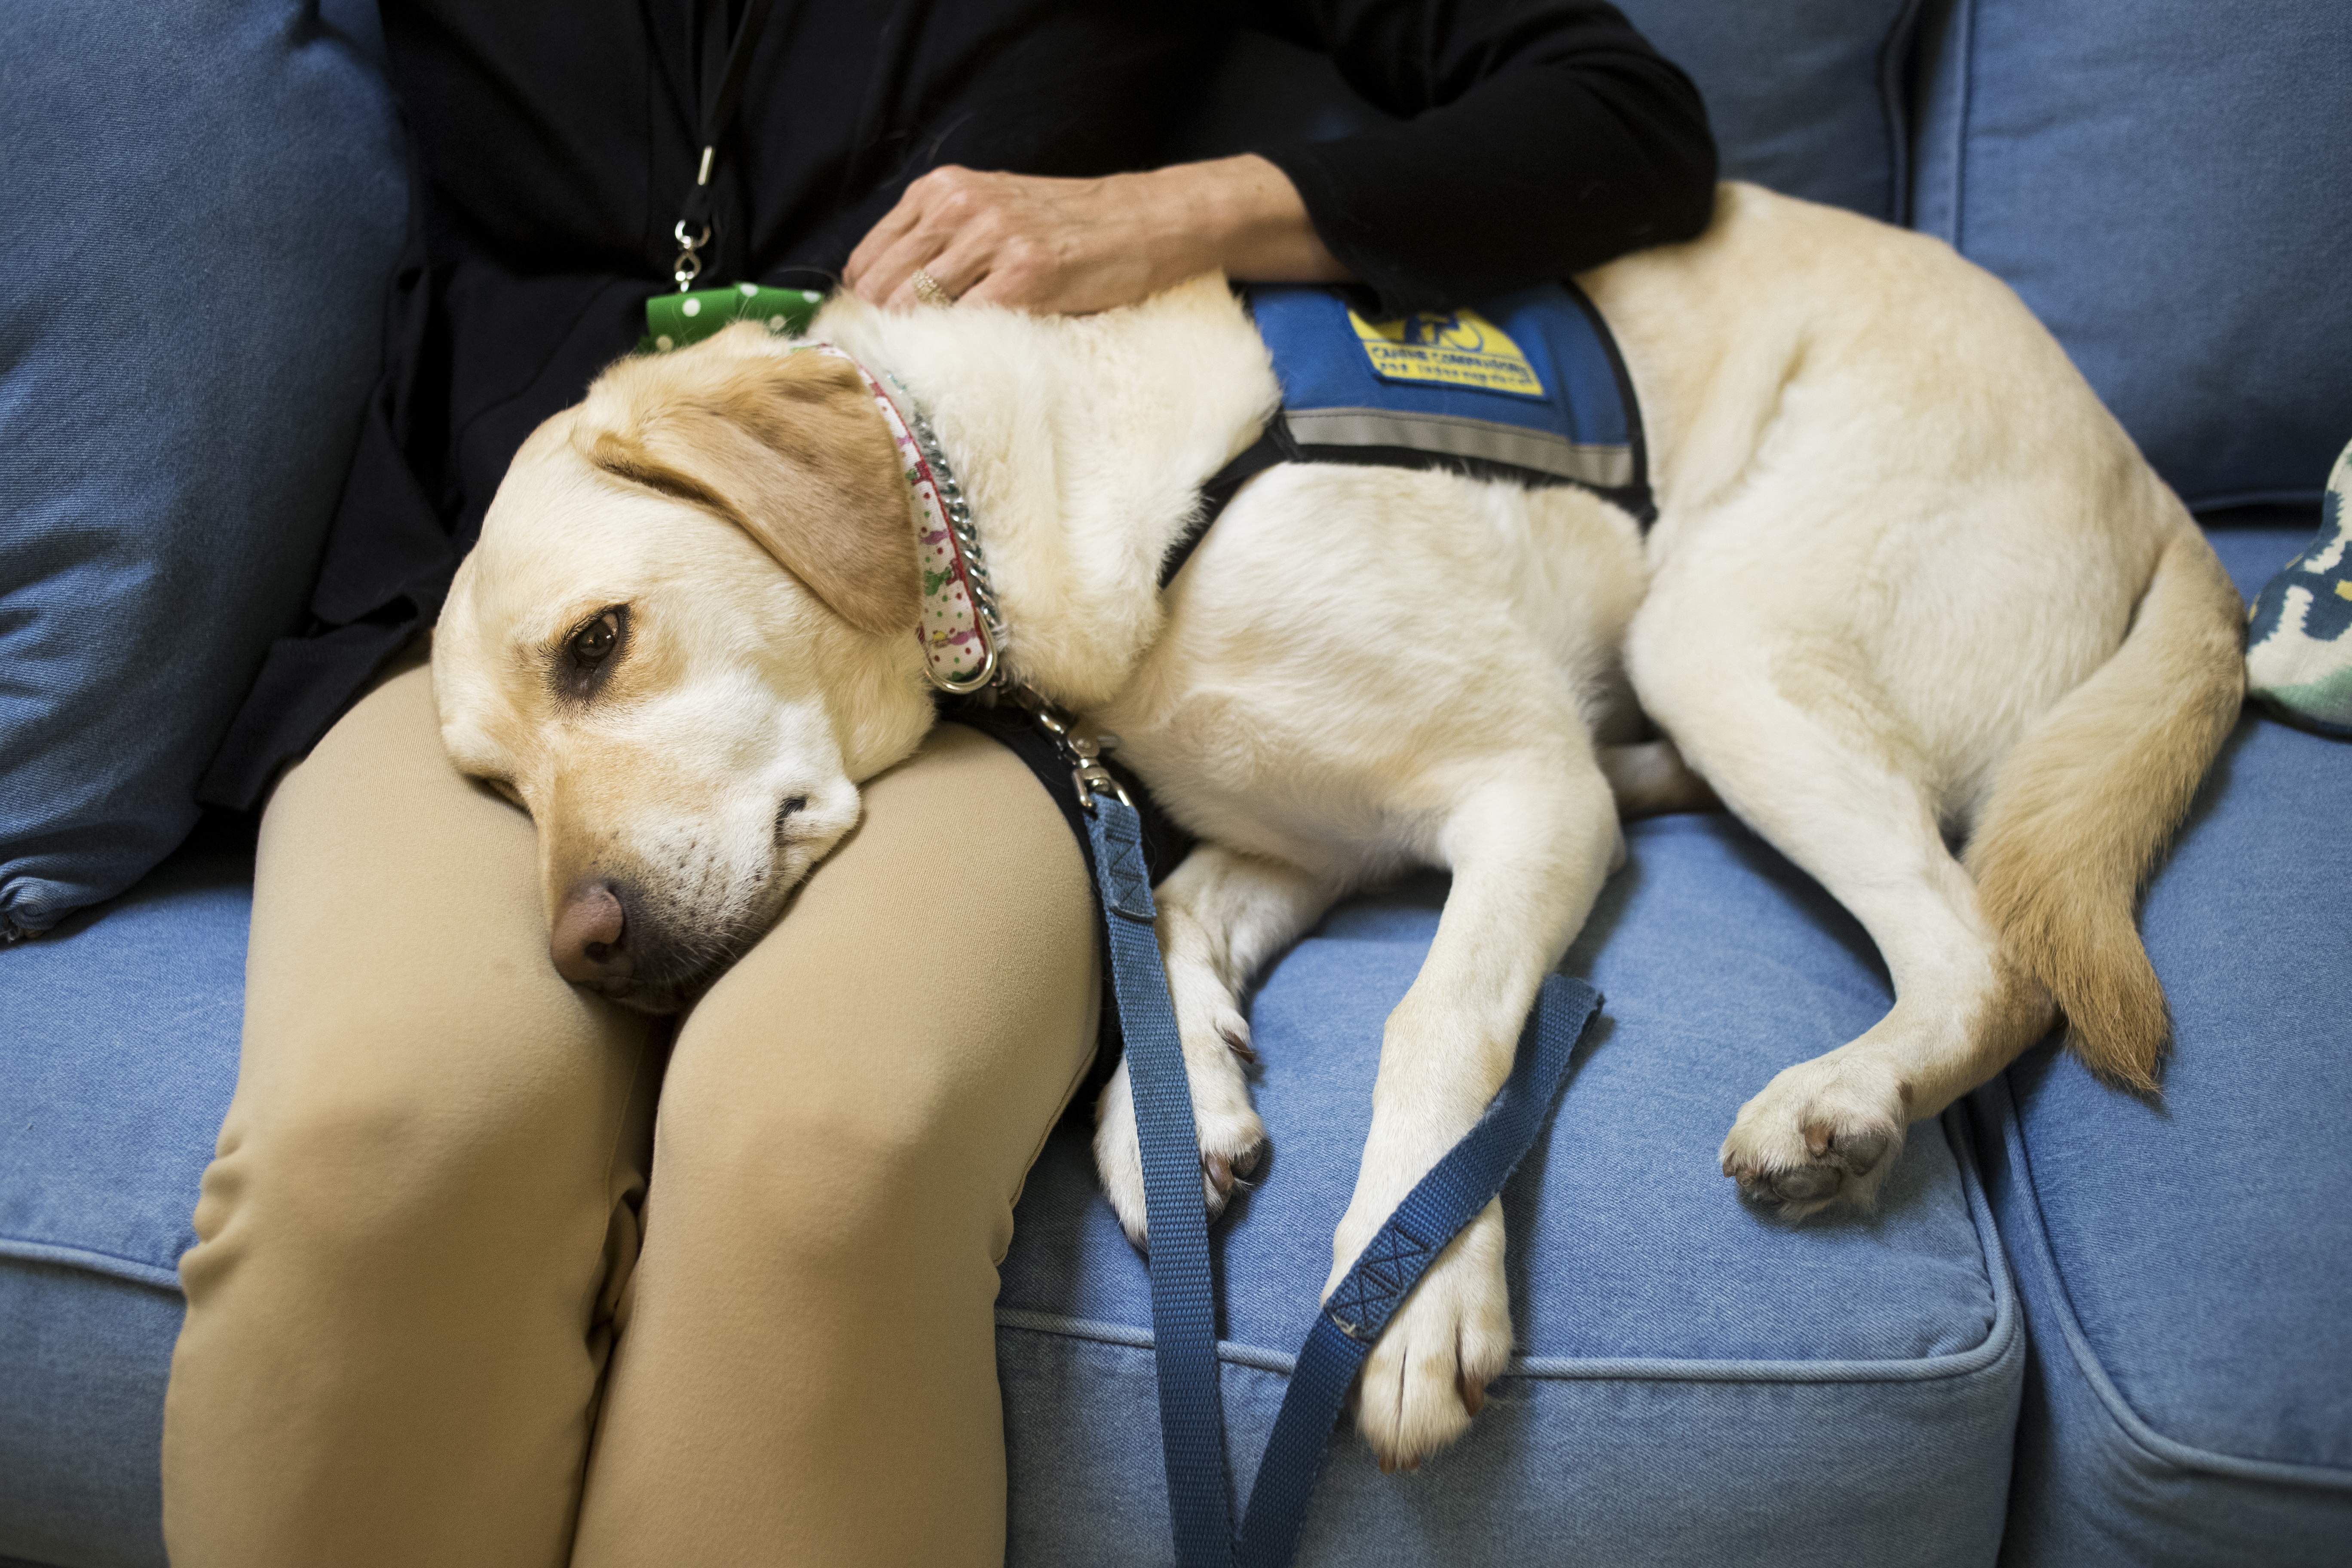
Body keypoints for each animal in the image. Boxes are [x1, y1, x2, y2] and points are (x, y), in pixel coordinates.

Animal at [428, 184, 2239, 1476]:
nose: (585, 949)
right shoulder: (1303, 836)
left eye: (597, 643)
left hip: (1719, 632)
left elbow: (1434, 1016)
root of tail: (2153, 481)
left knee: (1985, 952)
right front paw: (1180, 1109)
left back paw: (1844, 1096)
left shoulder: (1526, 790)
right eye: (491, 784)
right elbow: (1168, 926)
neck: (1030, 491)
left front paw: (1411, 1288)